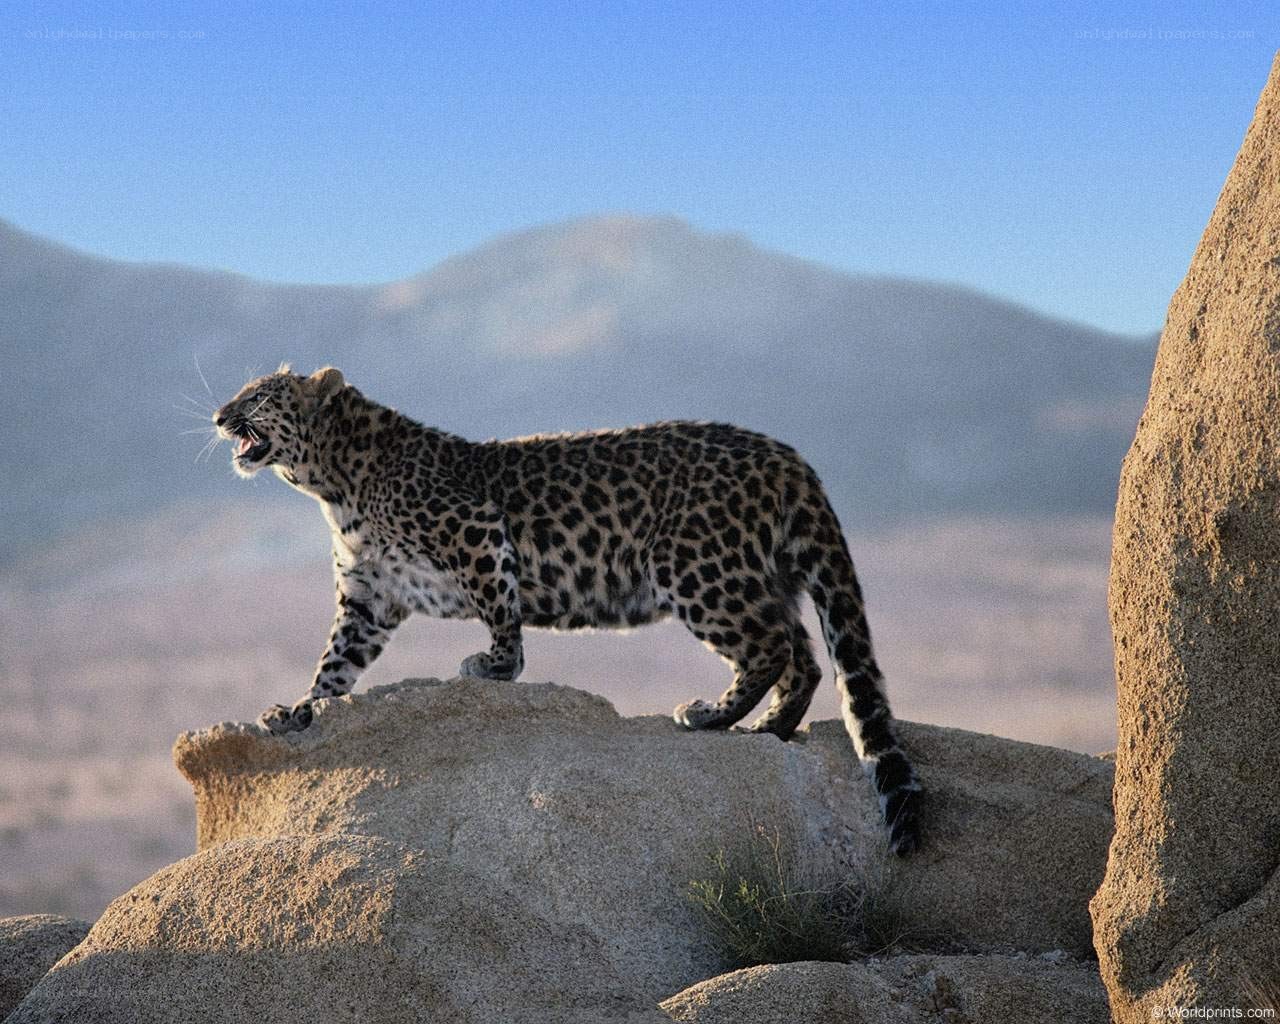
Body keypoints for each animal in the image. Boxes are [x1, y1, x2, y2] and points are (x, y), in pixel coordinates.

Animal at [213, 365, 922, 854]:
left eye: (258, 396)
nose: (220, 415)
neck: (333, 484)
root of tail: (788, 455)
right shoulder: (369, 597)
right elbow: (333, 667)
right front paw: (296, 713)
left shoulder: (476, 532)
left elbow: (500, 608)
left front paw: (496, 667)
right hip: (759, 574)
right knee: (803, 654)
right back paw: (767, 728)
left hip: (696, 566)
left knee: (772, 644)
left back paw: (710, 716)